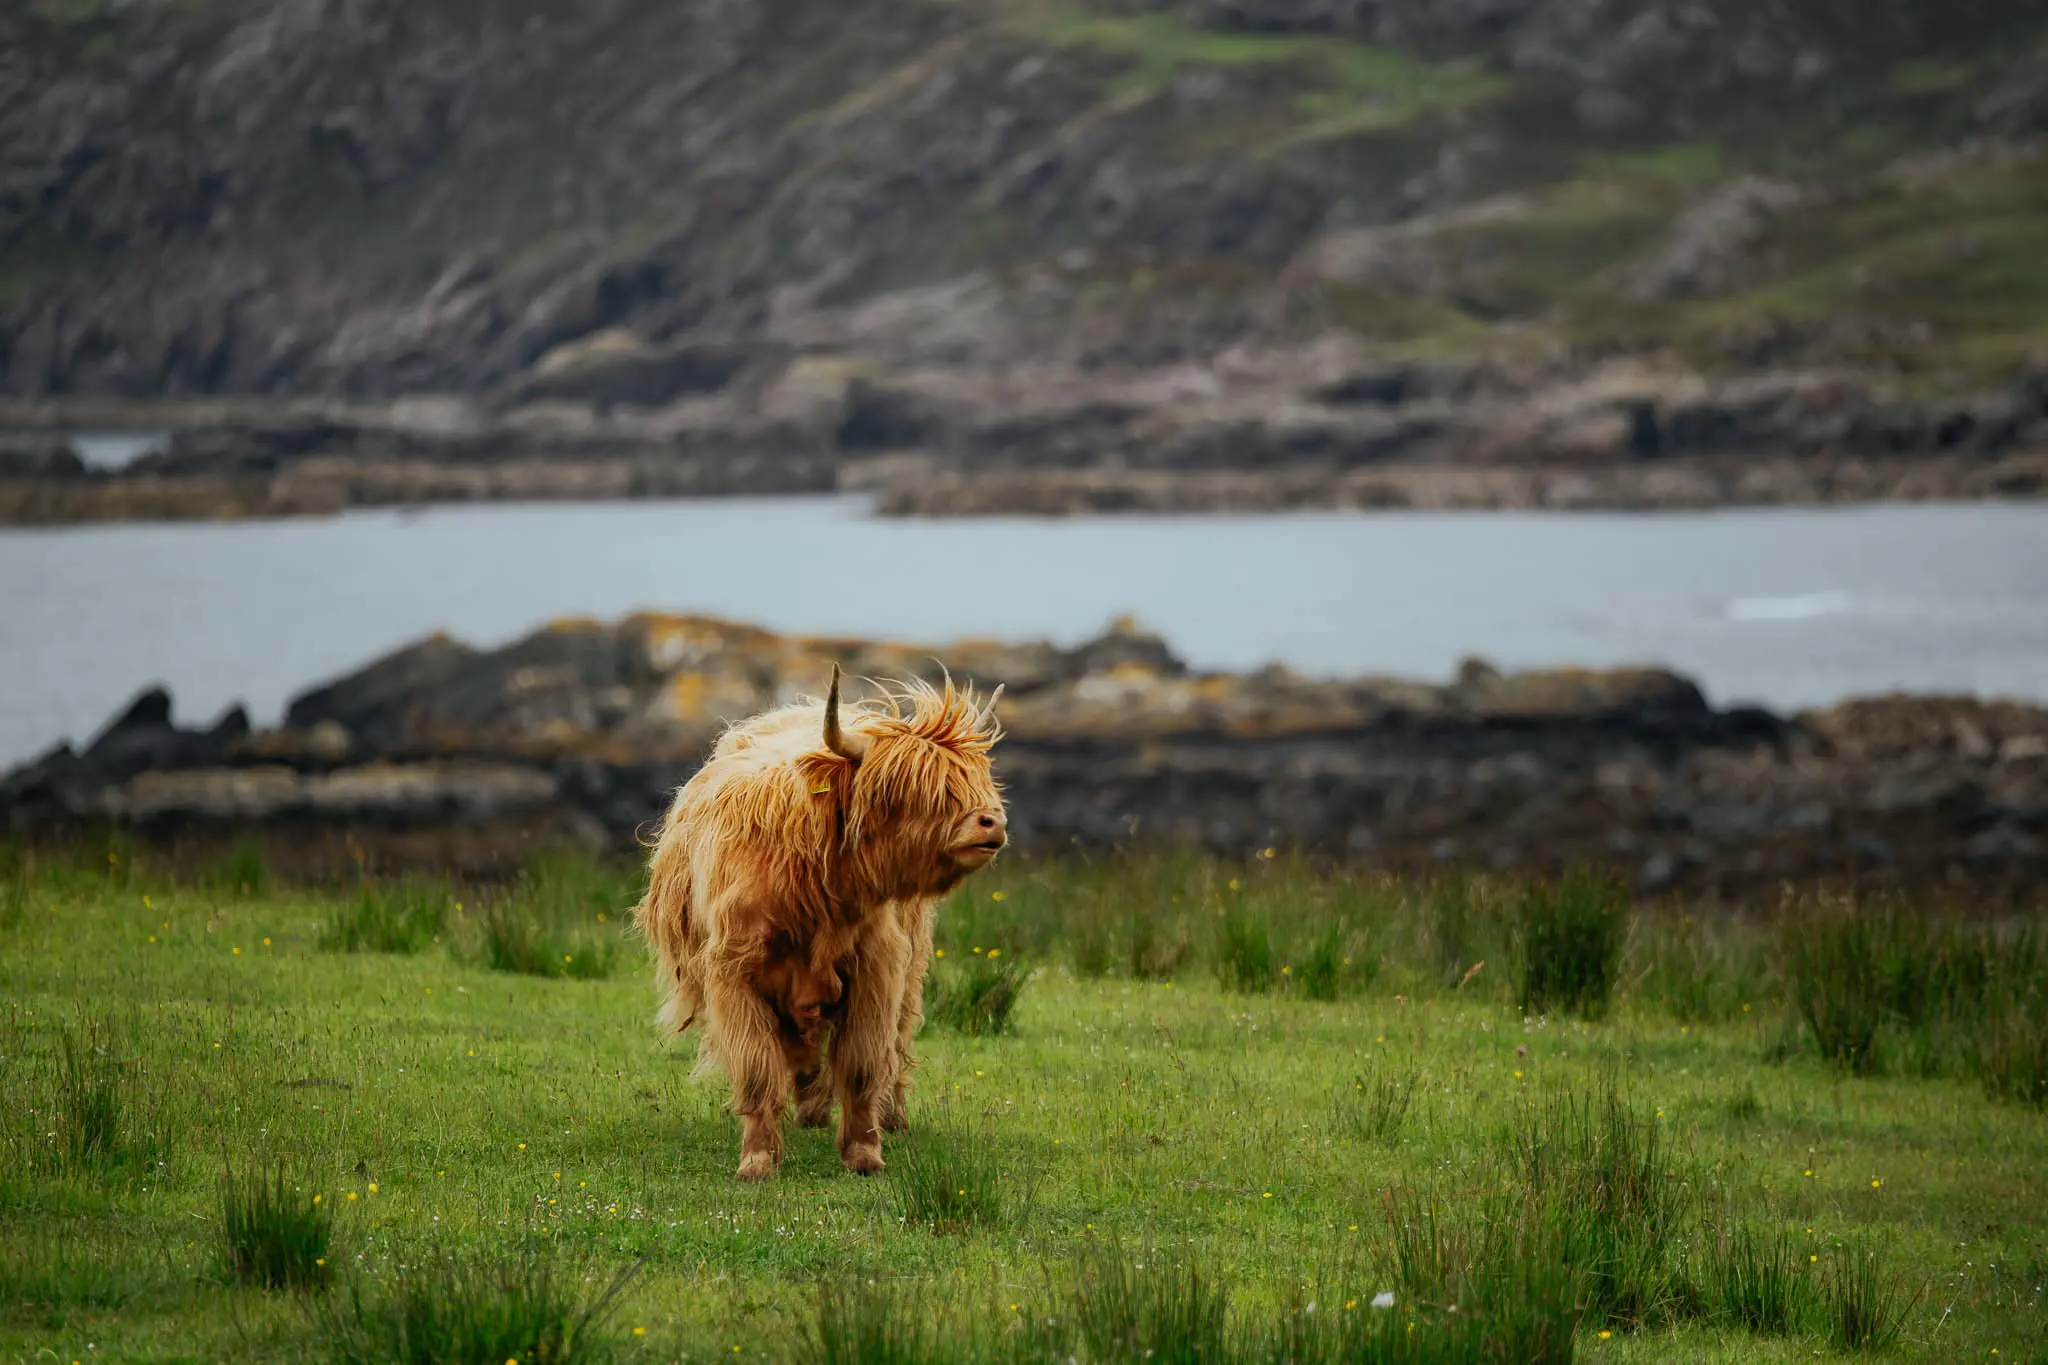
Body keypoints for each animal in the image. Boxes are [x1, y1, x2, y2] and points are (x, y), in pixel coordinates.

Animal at [626, 667, 1003, 1178]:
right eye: (907, 790)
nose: (993, 822)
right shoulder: (732, 972)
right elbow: (756, 1067)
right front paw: (758, 1159)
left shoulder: (876, 966)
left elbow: (864, 1063)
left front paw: (865, 1153)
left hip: (911, 964)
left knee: (897, 1040)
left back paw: (891, 1116)